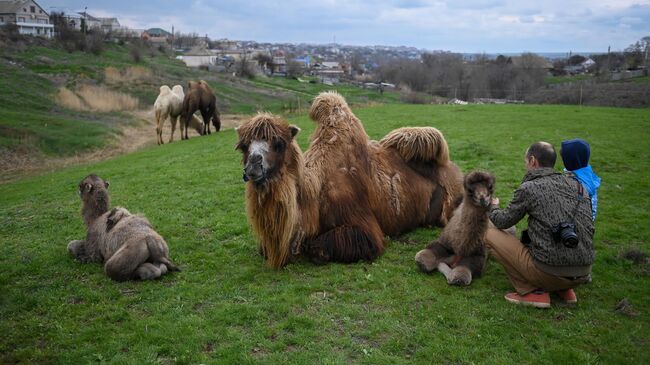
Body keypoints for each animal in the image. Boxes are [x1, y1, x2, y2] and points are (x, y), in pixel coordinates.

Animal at [235, 91, 464, 268]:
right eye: (244, 146)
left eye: (279, 144)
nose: (253, 166)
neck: (313, 193)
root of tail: (455, 171)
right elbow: (265, 249)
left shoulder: (361, 223)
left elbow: (320, 247)